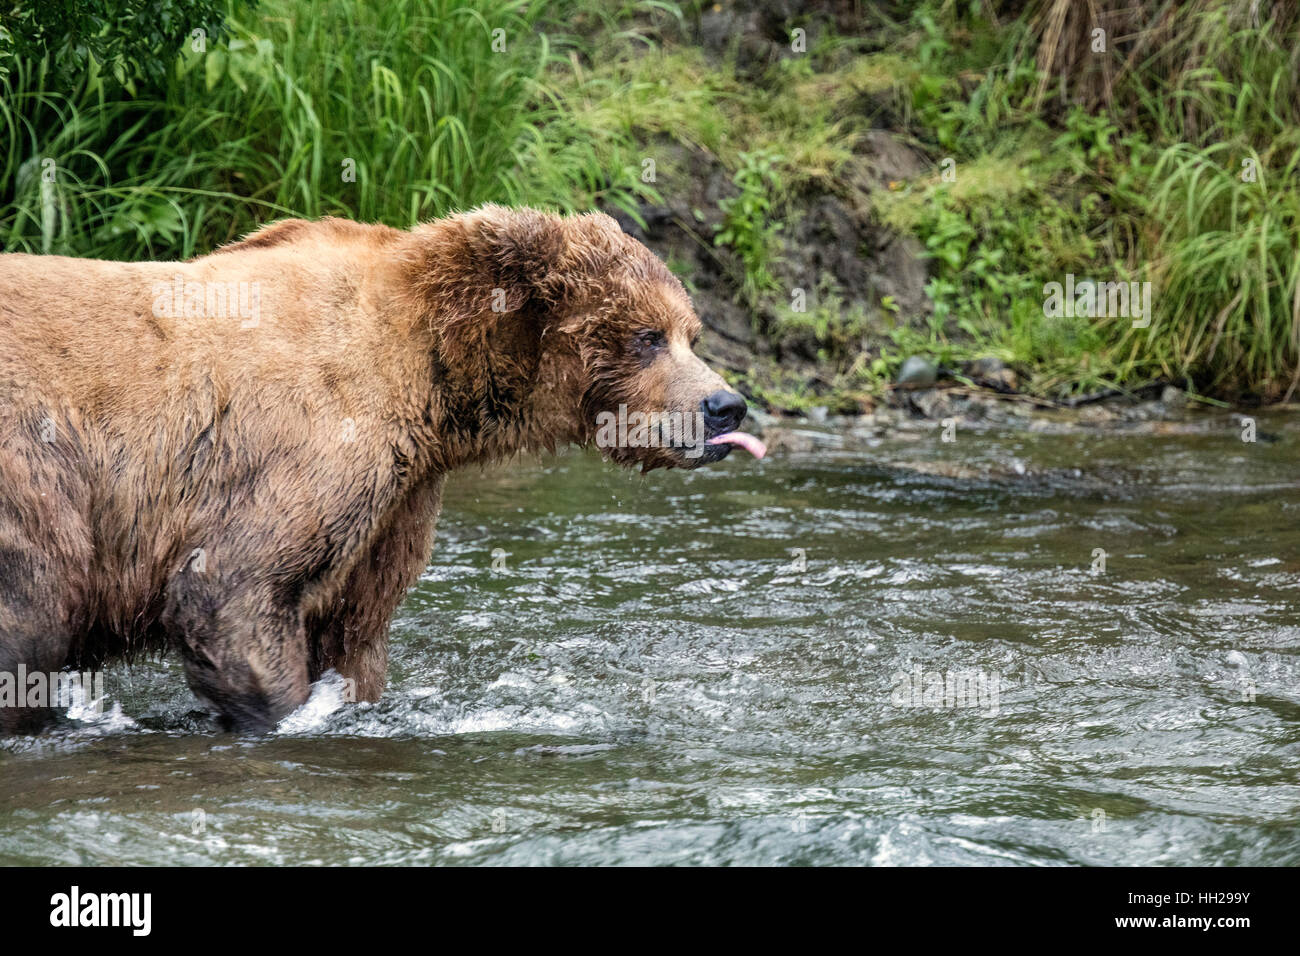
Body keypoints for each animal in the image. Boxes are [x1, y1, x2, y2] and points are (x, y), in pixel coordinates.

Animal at [0, 205, 763, 734]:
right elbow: (231, 587)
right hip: (37, 470)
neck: (429, 374)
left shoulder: (400, 500)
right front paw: (285, 714)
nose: (725, 404)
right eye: (646, 336)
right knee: (36, 609)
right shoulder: (316, 442)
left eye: (691, 332)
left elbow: (353, 631)